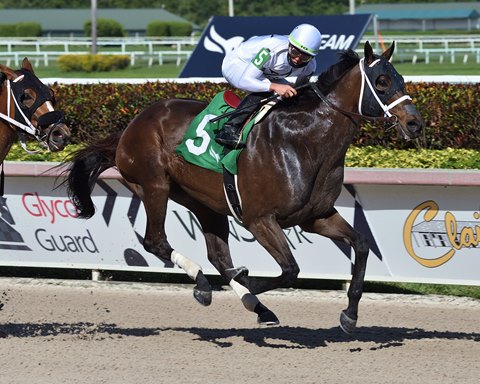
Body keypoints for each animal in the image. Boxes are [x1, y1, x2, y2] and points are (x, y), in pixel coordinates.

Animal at [61, 42, 424, 332]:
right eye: (381, 82)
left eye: (401, 78)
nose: (415, 123)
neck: (304, 141)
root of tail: (130, 127)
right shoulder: (259, 219)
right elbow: (290, 270)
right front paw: (248, 281)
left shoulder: (316, 217)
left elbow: (361, 245)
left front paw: (349, 315)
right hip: (153, 186)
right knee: (156, 241)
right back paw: (207, 286)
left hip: (203, 201)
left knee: (218, 256)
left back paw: (253, 306)